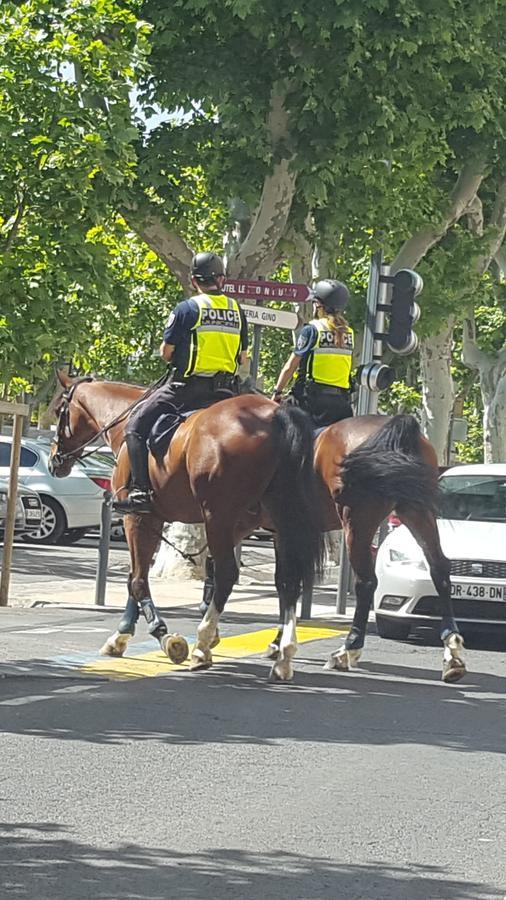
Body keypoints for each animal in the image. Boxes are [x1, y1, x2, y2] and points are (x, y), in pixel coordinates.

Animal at [48, 370, 324, 680]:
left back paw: (203, 645)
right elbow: (139, 578)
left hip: (219, 516)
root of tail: (277, 415)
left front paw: (164, 636)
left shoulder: (139, 518)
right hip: (276, 523)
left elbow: (138, 580)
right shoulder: (183, 521)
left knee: (229, 574)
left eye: (59, 410)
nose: (54, 461)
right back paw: (283, 654)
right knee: (287, 580)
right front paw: (122, 635)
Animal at [264, 414, 466, 684]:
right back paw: (452, 652)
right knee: (439, 569)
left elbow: (285, 583)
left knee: (367, 582)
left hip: (357, 522)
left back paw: (347, 649)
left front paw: (279, 643)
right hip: (416, 511)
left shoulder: (283, 531)